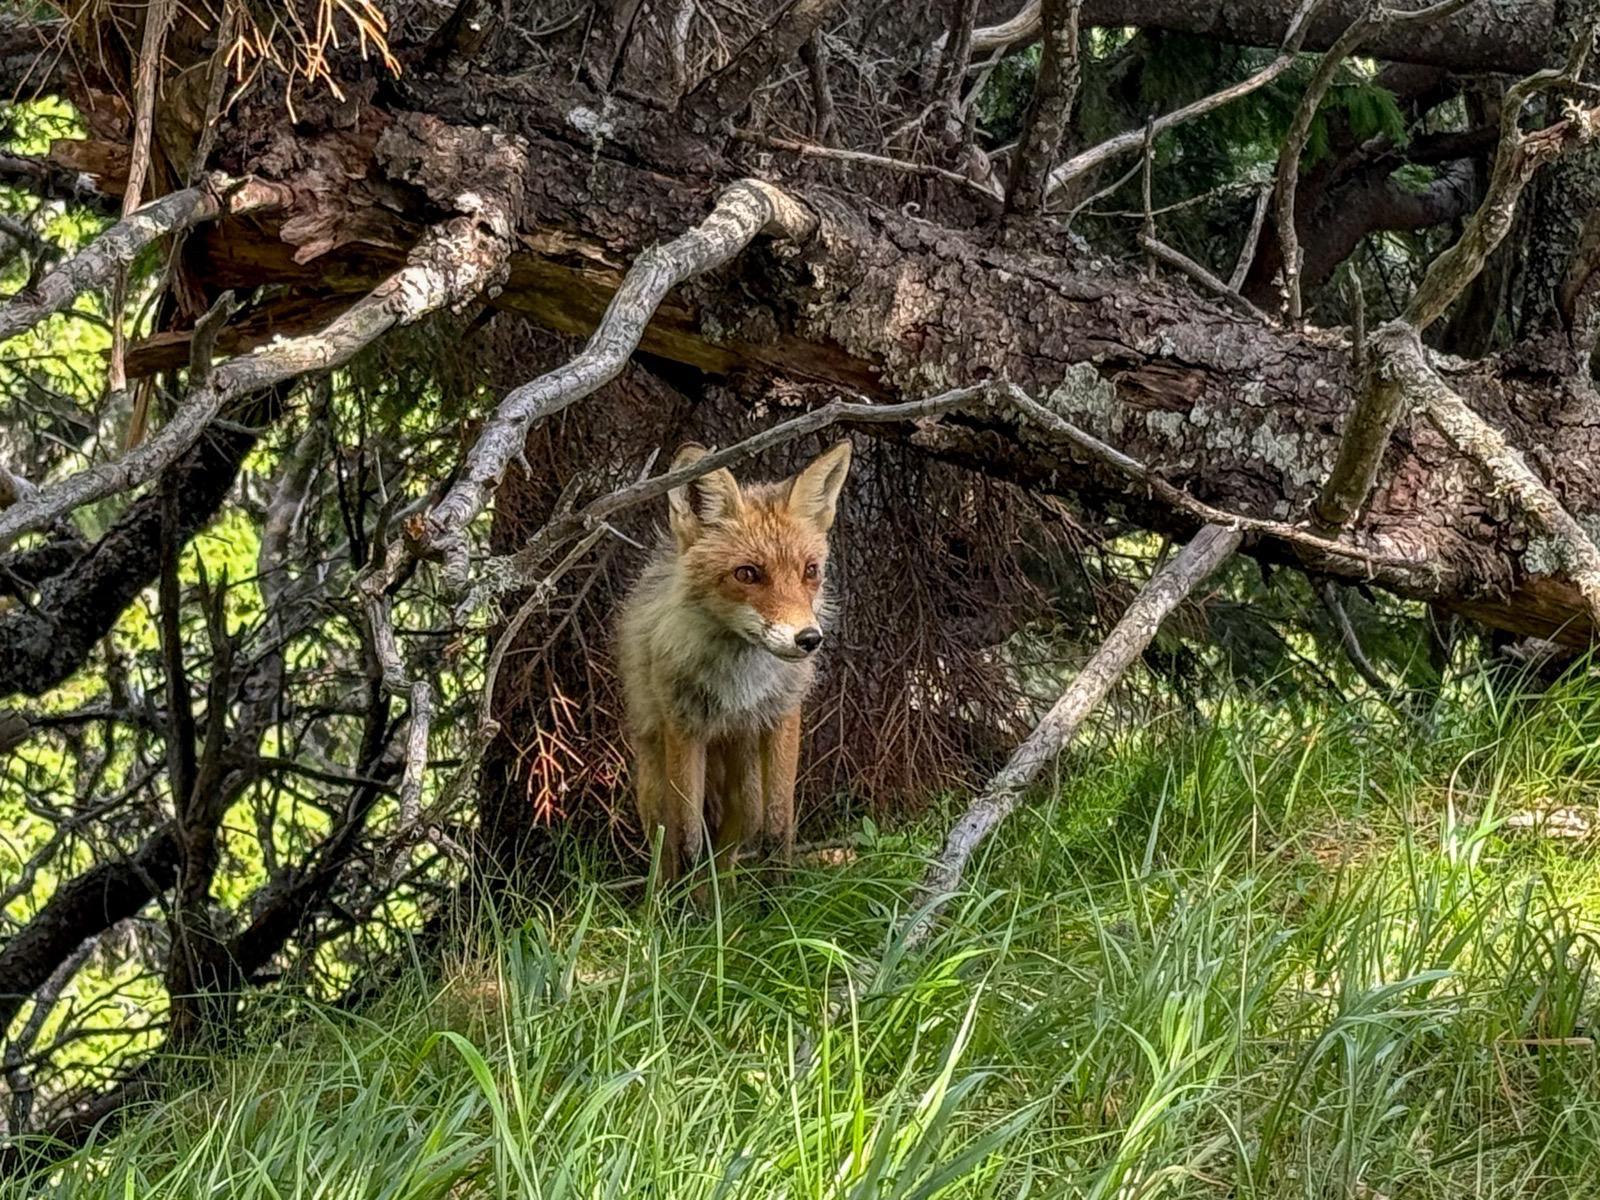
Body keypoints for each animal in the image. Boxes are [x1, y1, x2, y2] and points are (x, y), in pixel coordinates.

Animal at [616, 438, 853, 889]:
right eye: (747, 574)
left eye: (810, 571)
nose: (808, 639)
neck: (739, 684)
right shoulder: (684, 725)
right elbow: (687, 841)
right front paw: (684, 909)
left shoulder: (782, 716)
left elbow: (779, 828)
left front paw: (780, 900)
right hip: (655, 789)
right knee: (667, 847)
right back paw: (665, 902)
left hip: (747, 793)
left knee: (729, 849)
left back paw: (726, 901)